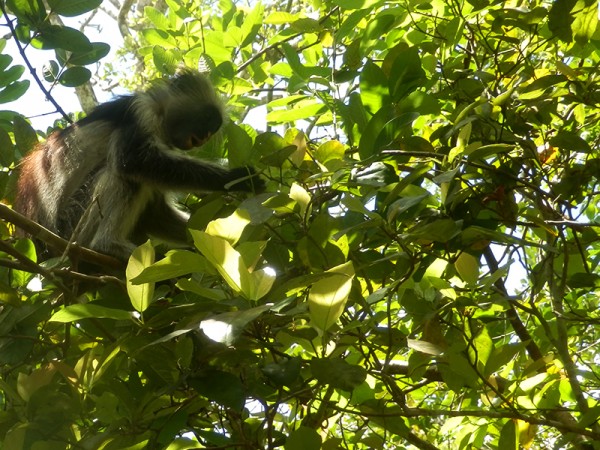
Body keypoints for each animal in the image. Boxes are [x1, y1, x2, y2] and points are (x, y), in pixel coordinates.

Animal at [14, 70, 262, 260]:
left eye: (210, 131)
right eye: (205, 121)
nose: (203, 138)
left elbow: (155, 211)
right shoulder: (140, 111)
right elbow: (133, 161)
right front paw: (236, 179)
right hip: (71, 223)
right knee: (123, 176)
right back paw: (107, 246)